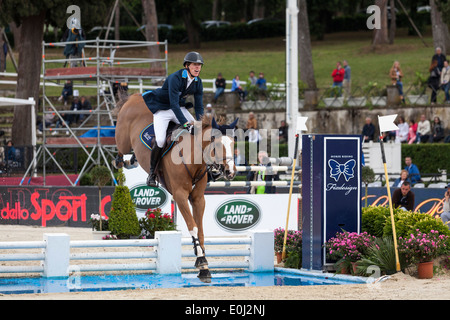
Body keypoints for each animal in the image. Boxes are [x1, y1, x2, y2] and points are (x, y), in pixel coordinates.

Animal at [114, 92, 237, 280]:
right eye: (216, 144)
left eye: (233, 143)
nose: (230, 172)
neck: (193, 159)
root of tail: (136, 96)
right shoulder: (180, 195)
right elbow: (192, 226)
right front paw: (202, 262)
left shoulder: (198, 198)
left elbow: (200, 229)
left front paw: (203, 265)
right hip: (123, 139)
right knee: (120, 152)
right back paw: (123, 162)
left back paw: (132, 161)